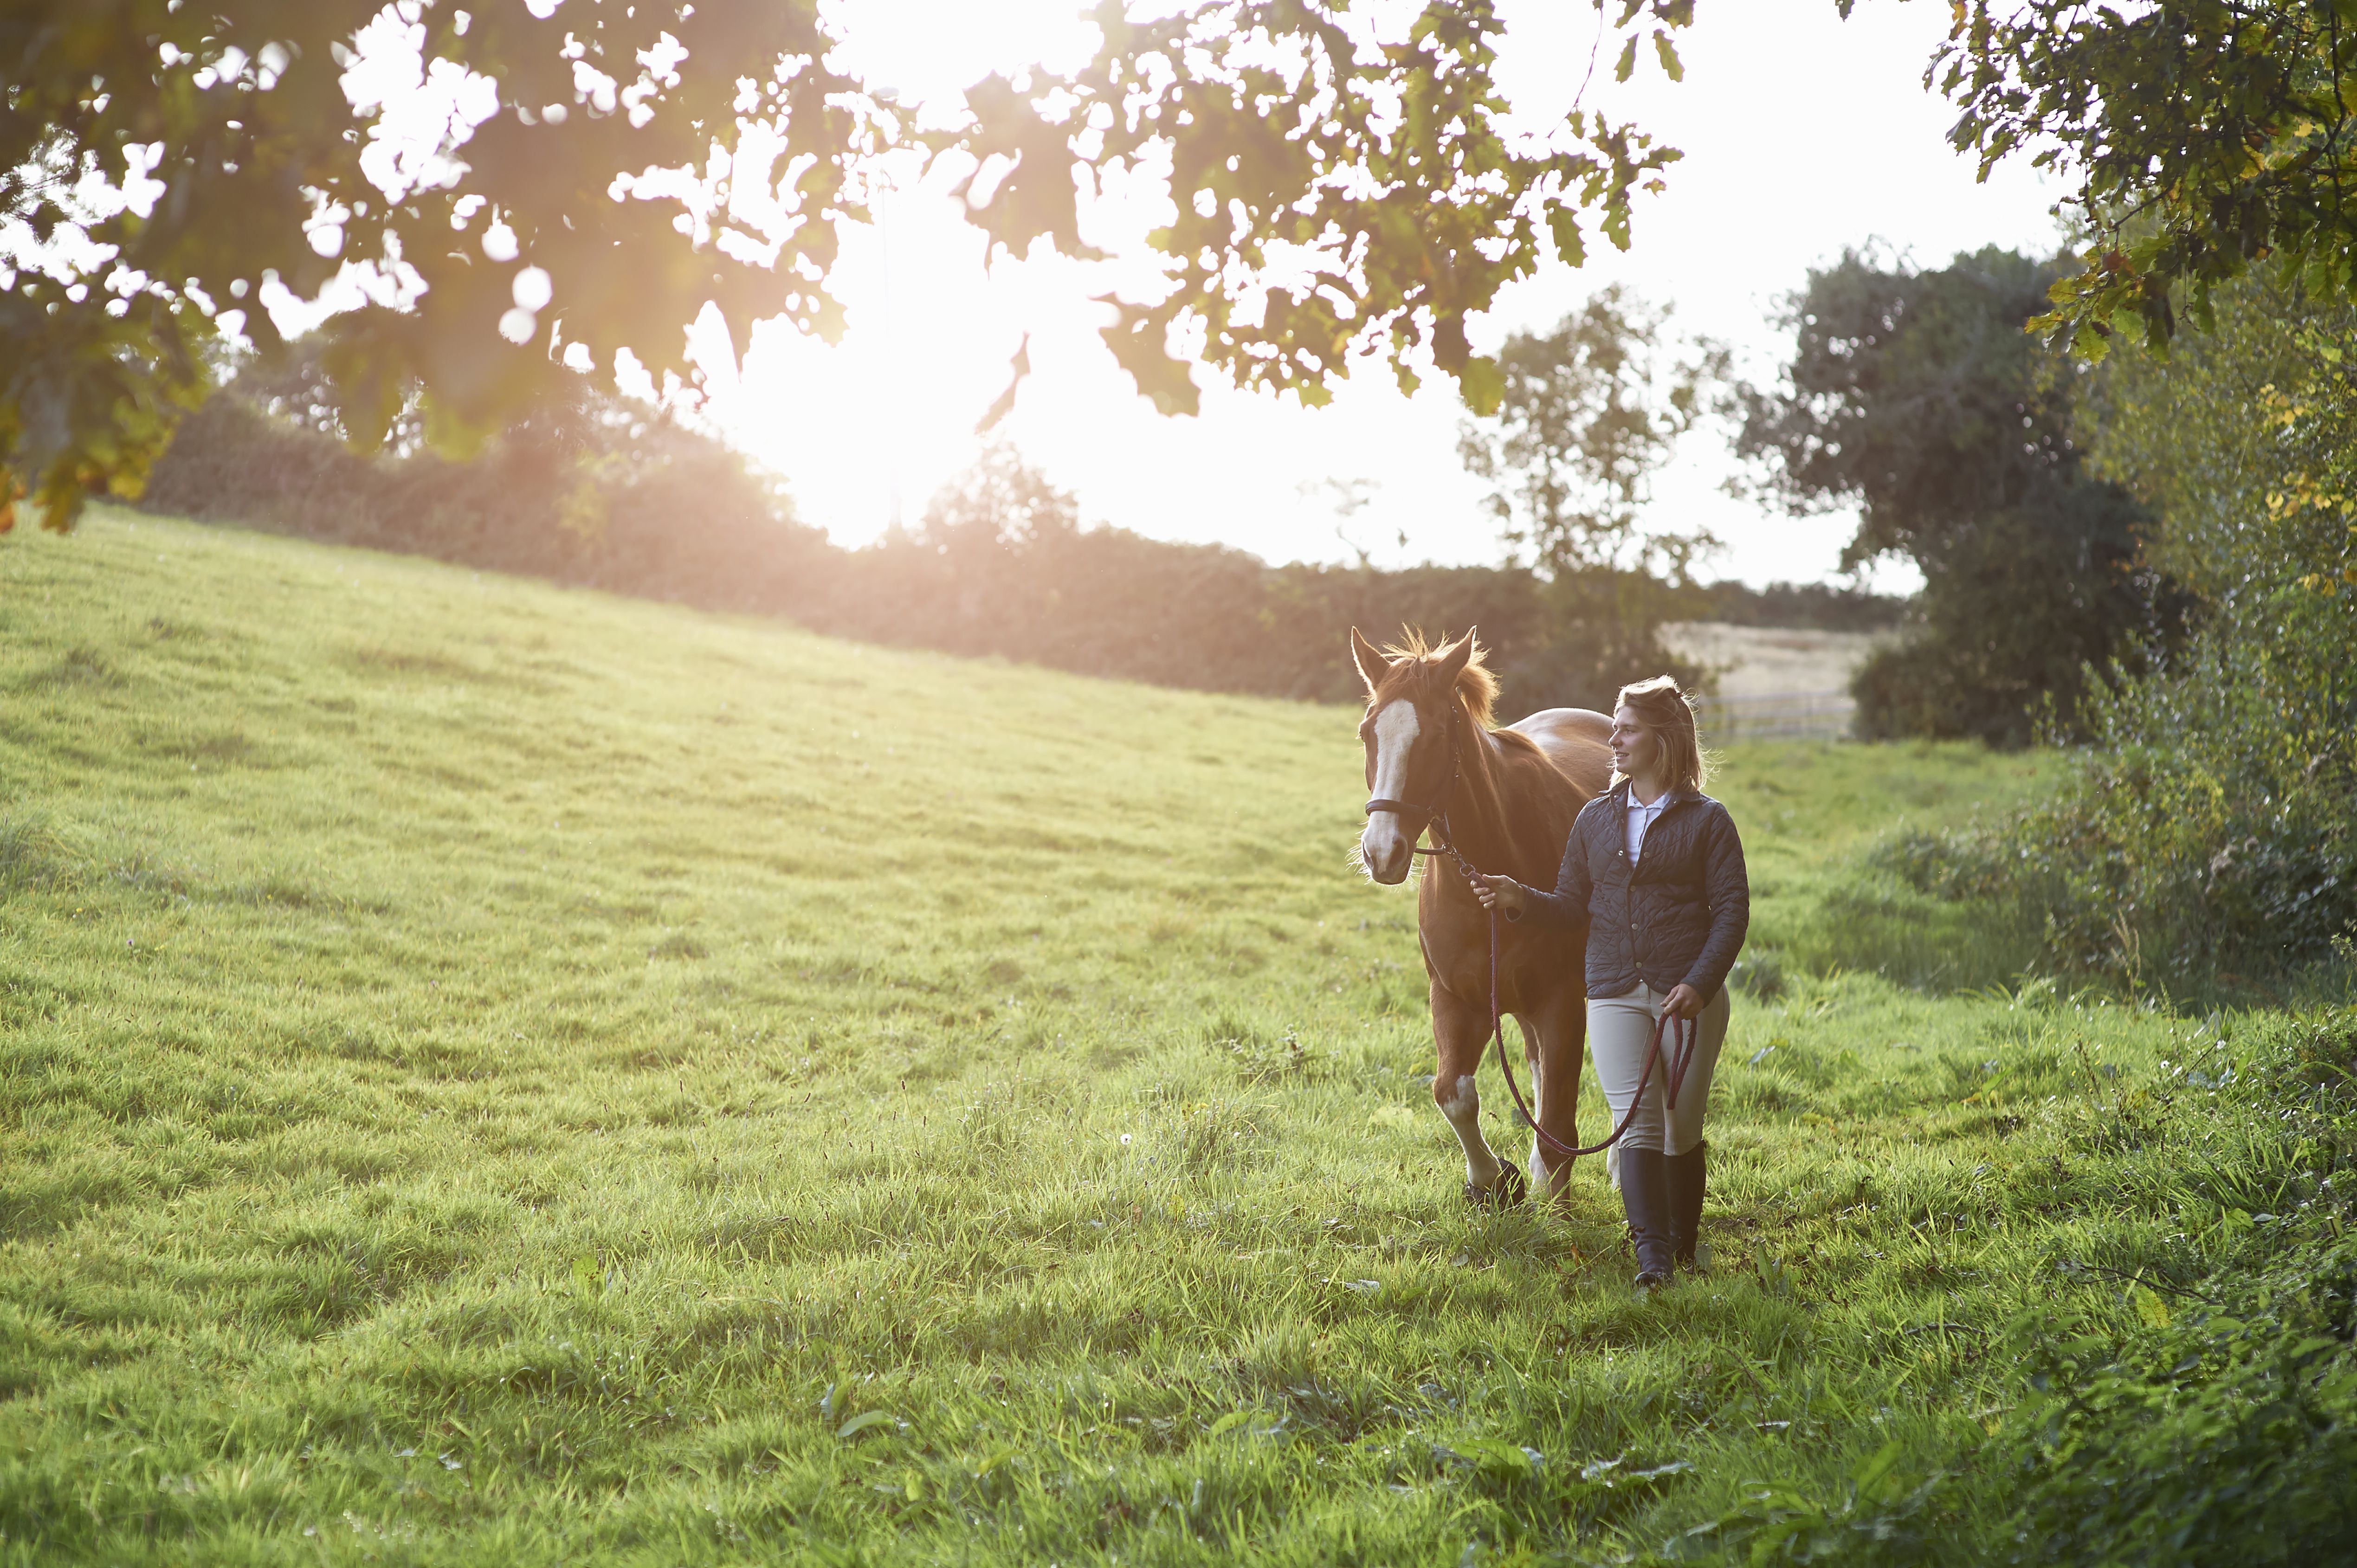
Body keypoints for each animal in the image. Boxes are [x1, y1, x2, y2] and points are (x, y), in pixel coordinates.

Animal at [1357, 622, 1612, 1198]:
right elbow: (1453, 1092)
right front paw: (1493, 1180)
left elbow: (1559, 1122)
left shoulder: (1563, 1000)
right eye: (1368, 733)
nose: (1382, 851)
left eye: (1433, 737)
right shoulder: (1455, 997)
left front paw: (1548, 1200)